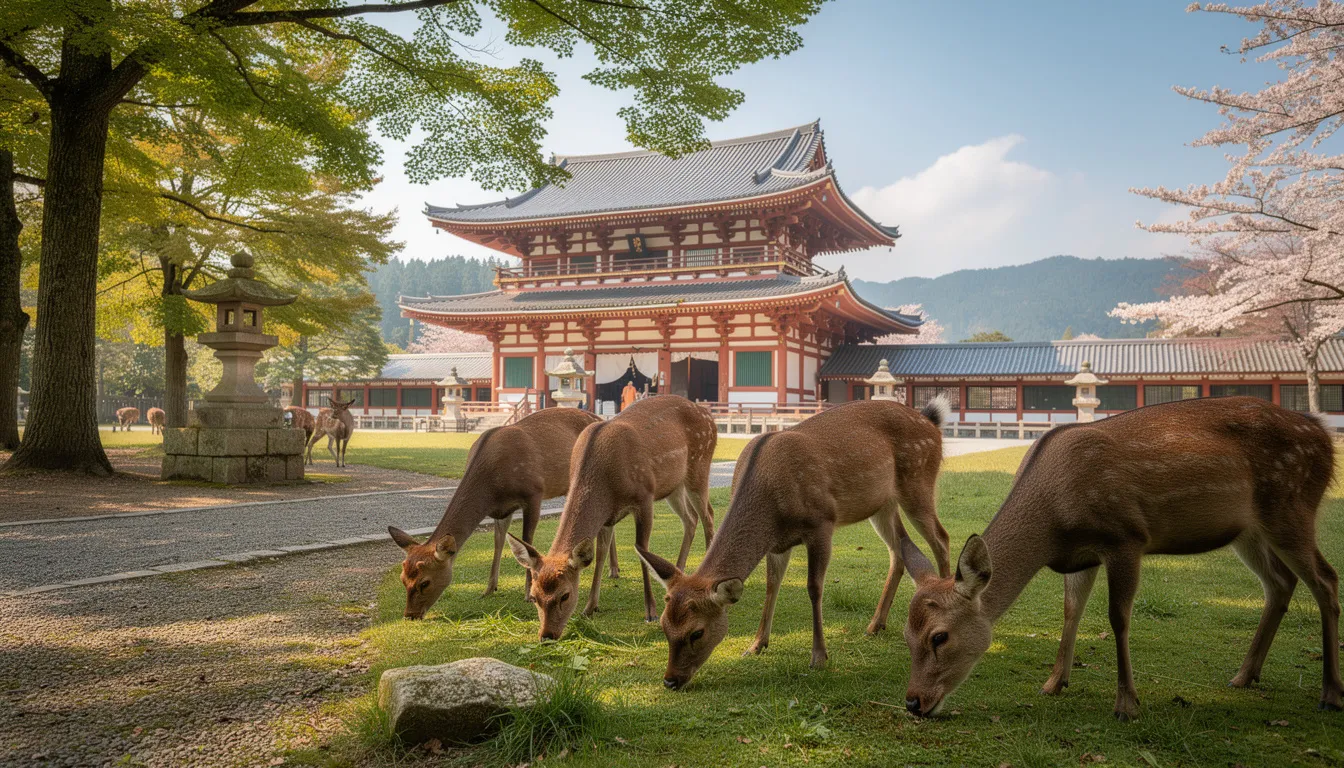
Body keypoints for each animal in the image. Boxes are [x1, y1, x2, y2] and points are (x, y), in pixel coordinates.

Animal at [387, 407, 605, 619]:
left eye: (424, 582)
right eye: (402, 578)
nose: (410, 615)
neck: (492, 485)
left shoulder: (534, 493)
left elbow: (527, 540)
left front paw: (528, 593)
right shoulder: (501, 510)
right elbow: (498, 542)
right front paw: (489, 588)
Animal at [509, 395, 718, 641]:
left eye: (565, 595)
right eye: (534, 597)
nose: (547, 635)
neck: (605, 483)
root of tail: (708, 415)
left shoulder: (645, 496)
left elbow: (641, 550)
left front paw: (651, 612)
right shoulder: (606, 518)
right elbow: (600, 556)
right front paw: (590, 607)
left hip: (699, 466)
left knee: (708, 516)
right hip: (673, 486)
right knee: (690, 518)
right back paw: (677, 570)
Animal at [637, 397, 952, 690]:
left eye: (697, 632)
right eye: (663, 625)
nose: (670, 680)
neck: (771, 508)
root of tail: (931, 421)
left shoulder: (822, 522)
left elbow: (814, 588)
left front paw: (819, 656)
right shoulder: (778, 544)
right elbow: (771, 585)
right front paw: (755, 645)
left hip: (918, 481)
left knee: (941, 538)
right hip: (882, 504)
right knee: (899, 548)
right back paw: (875, 625)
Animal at [898, 396, 1341, 721]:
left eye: (939, 636)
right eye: (905, 634)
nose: (913, 702)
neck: (1053, 523)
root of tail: (1321, 432)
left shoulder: (1126, 536)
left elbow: (1118, 617)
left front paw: (1127, 704)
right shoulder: (1081, 556)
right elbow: (1071, 610)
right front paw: (1054, 683)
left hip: (1291, 505)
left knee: (1326, 579)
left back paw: (1331, 692)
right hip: (1249, 530)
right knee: (1281, 582)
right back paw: (1244, 676)